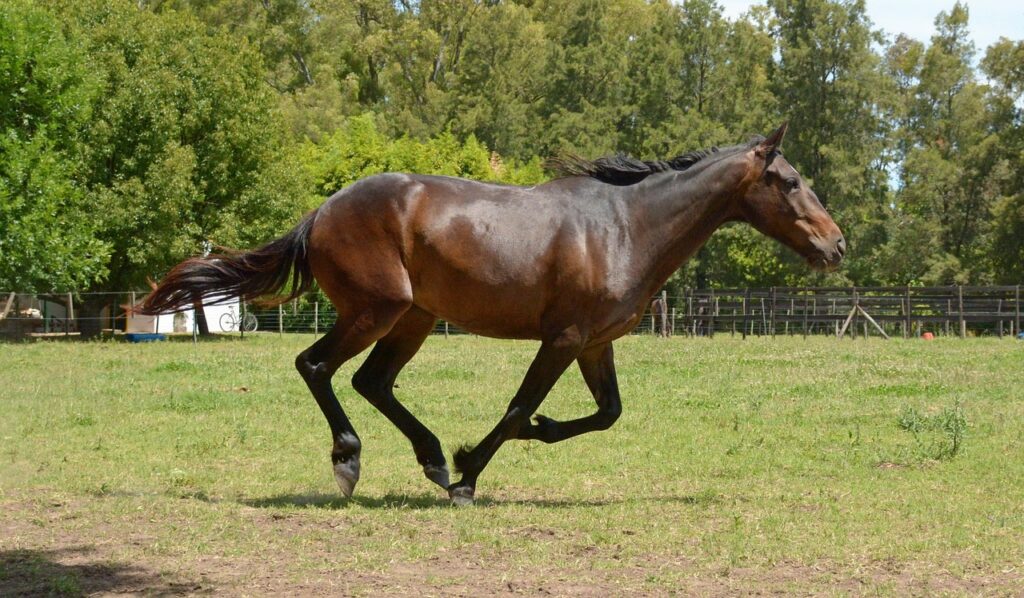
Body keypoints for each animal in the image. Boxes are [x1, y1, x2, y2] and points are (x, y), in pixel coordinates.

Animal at [142, 123, 845, 505]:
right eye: (789, 182)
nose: (836, 245)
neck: (626, 226)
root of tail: (322, 211)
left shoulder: (596, 343)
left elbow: (607, 413)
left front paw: (519, 437)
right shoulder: (563, 339)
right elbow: (514, 408)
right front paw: (469, 474)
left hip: (414, 319)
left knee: (372, 381)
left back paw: (430, 457)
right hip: (378, 310)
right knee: (315, 365)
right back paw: (351, 462)